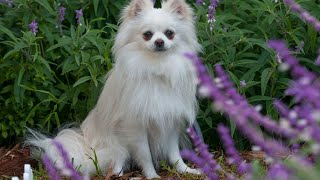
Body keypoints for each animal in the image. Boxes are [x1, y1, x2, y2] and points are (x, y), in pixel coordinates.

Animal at [28, 0, 201, 178]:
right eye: (147, 34)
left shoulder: (171, 121)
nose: (159, 41)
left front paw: (186, 170)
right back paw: (117, 174)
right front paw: (152, 176)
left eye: (169, 33)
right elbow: (145, 155)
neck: (156, 66)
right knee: (115, 163)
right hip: (116, 147)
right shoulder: (136, 127)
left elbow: (175, 153)